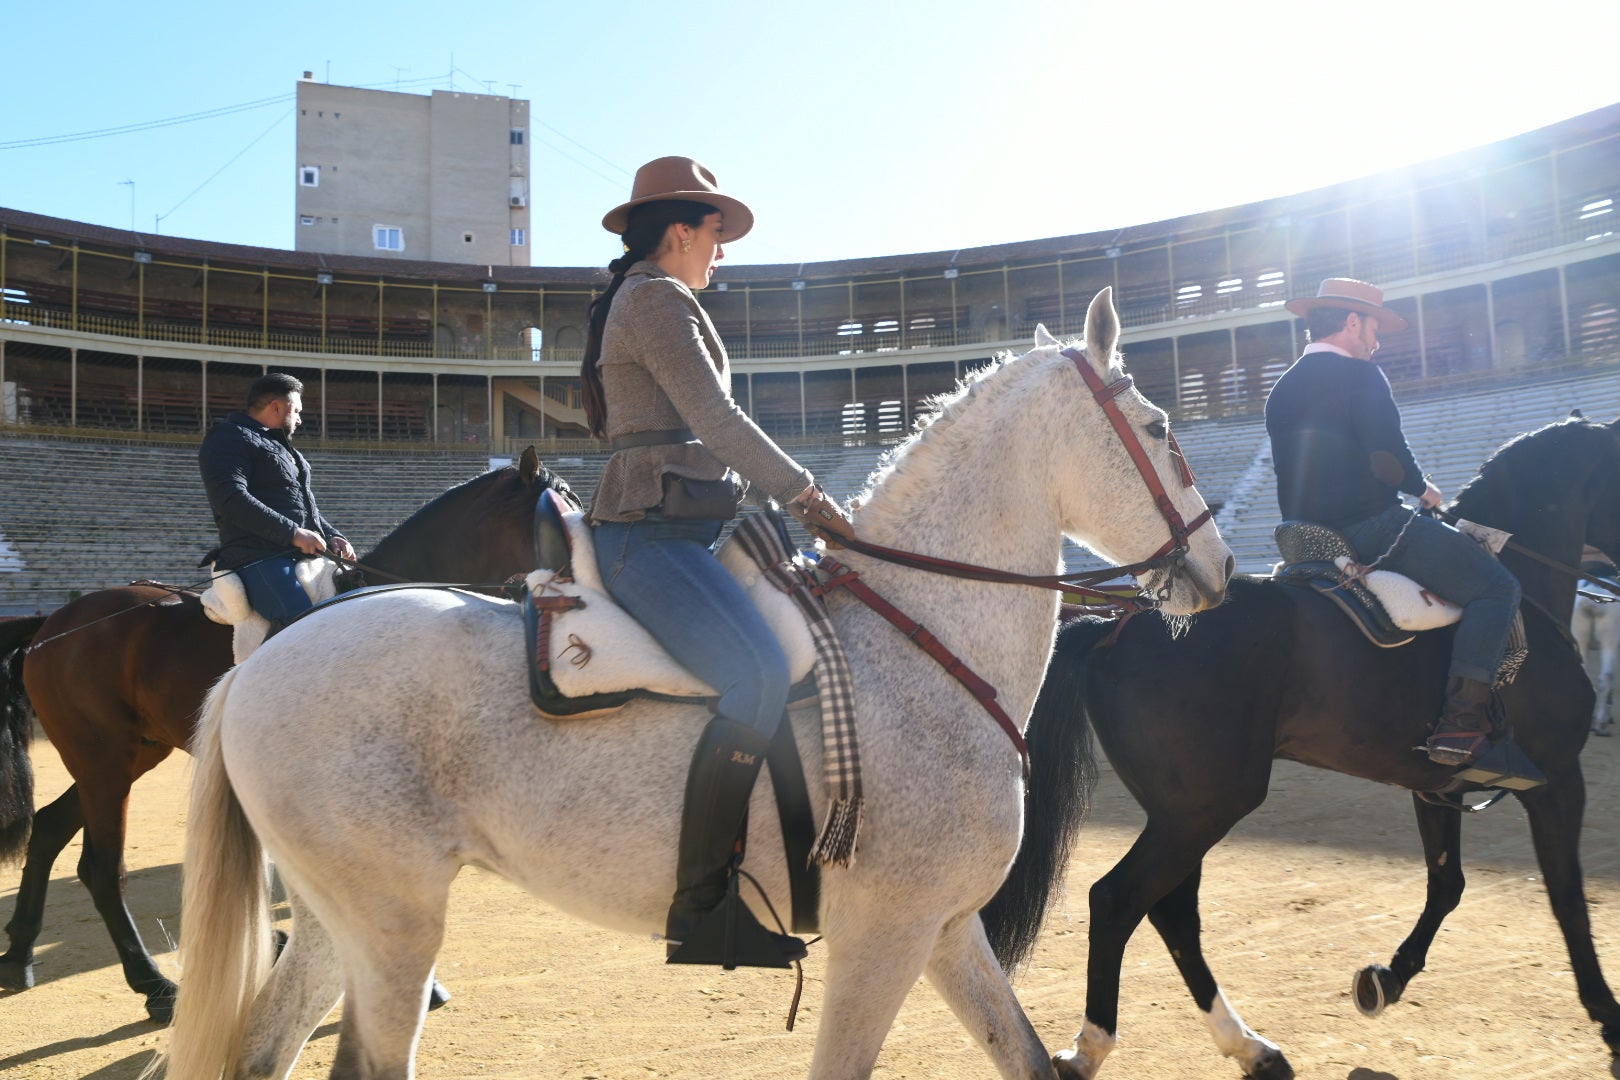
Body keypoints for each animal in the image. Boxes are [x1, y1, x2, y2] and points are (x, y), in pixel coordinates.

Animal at [0, 446, 570, 1023]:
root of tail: (53, 624)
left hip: (127, 756)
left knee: (48, 830)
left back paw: (20, 955)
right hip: (104, 762)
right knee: (102, 870)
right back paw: (153, 985)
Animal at [154, 286, 1237, 1080]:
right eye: (1157, 422)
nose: (1221, 567)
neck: (919, 640)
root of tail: (265, 662)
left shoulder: (941, 930)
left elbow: (1026, 1058)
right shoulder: (883, 937)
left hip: (333, 922)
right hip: (393, 921)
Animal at [978, 417, 1620, 1080]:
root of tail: (1117, 624)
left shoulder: (1436, 788)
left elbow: (1448, 885)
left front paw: (1387, 979)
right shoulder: (1558, 781)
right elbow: (1568, 898)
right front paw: (1607, 1014)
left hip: (1184, 811)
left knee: (1171, 910)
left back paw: (1251, 1048)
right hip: (1207, 807)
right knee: (1118, 901)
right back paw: (1091, 1048)